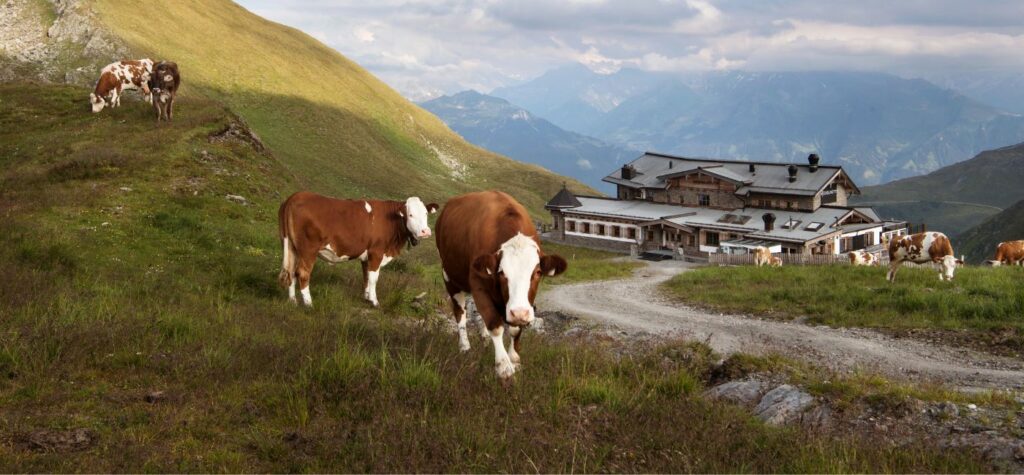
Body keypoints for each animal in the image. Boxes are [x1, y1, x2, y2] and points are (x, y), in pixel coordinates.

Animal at [278, 192, 438, 307]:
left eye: (425, 213)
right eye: (410, 215)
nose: (425, 231)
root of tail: (296, 196)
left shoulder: (366, 257)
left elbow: (366, 277)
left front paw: (367, 297)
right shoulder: (376, 252)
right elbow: (374, 277)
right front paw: (374, 301)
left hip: (292, 247)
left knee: (291, 272)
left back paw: (292, 301)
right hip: (308, 249)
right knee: (302, 273)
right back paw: (308, 303)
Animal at [436, 191, 573, 380]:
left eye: (538, 272)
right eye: (501, 273)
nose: (519, 312)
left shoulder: (523, 303)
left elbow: (515, 330)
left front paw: (514, 359)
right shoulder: (478, 285)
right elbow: (495, 324)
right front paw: (504, 367)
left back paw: (484, 338)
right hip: (449, 277)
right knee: (460, 312)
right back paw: (464, 347)